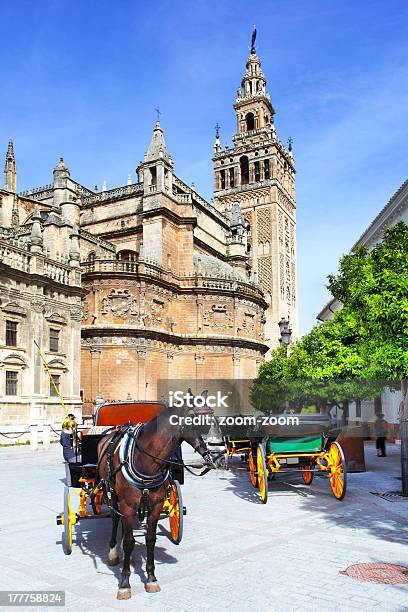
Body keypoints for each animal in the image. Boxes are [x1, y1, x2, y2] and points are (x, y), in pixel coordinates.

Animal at [97, 402, 215, 596]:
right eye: (198, 422)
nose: (217, 455)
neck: (144, 458)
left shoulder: (155, 506)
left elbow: (150, 539)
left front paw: (151, 578)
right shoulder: (127, 505)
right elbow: (128, 542)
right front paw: (124, 583)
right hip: (112, 492)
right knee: (115, 518)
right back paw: (114, 552)